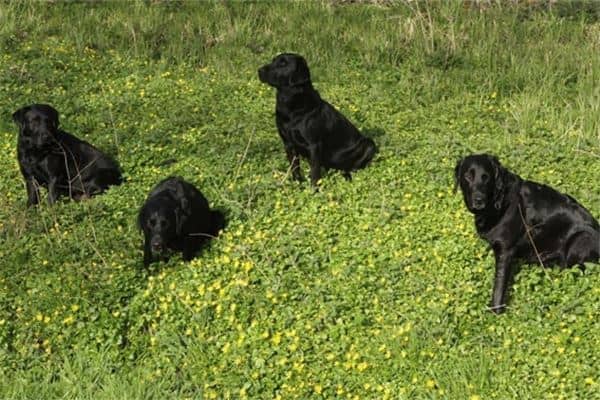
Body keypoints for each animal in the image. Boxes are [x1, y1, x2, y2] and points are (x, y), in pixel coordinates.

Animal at [258, 52, 376, 188]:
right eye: (273, 60)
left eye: (283, 63)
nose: (259, 70)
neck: (291, 106)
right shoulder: (288, 143)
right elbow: (295, 168)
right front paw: (298, 184)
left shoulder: (313, 145)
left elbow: (314, 172)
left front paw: (314, 190)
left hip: (369, 144)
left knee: (352, 168)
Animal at [458, 153, 596, 312]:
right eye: (468, 176)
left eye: (486, 177)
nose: (479, 200)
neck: (498, 201)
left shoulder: (505, 251)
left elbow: (499, 286)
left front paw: (495, 312)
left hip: (580, 238)